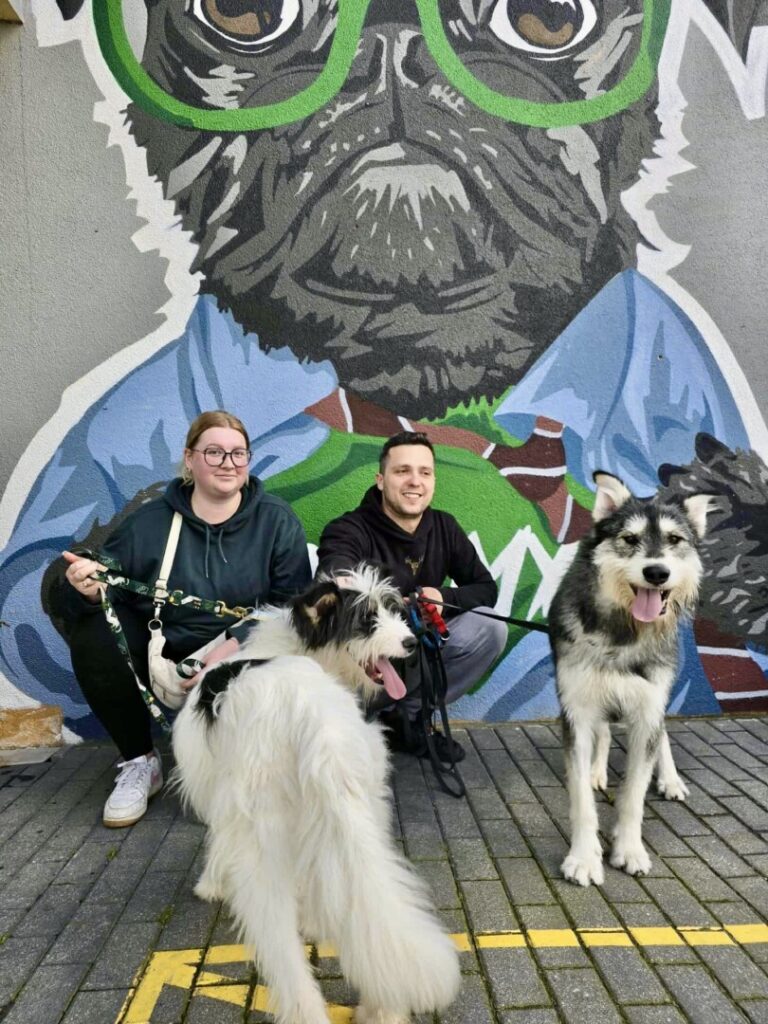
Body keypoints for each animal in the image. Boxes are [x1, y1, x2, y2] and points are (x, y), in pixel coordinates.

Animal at [172, 567, 461, 1024]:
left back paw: (303, 1007)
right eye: (367, 620)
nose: (413, 643)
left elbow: (217, 844)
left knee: (279, 943)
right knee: (369, 901)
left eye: (392, 611)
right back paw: (385, 1009)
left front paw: (211, 884)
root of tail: (309, 716)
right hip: (360, 807)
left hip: (261, 839)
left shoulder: (222, 800)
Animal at [548, 472, 712, 887]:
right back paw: (597, 770)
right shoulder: (577, 709)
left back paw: (670, 780)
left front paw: (629, 849)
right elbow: (581, 799)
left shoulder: (647, 709)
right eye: (630, 538)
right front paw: (583, 858)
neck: (625, 631)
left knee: (663, 734)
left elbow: (634, 794)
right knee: (604, 733)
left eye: (675, 540)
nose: (657, 572)